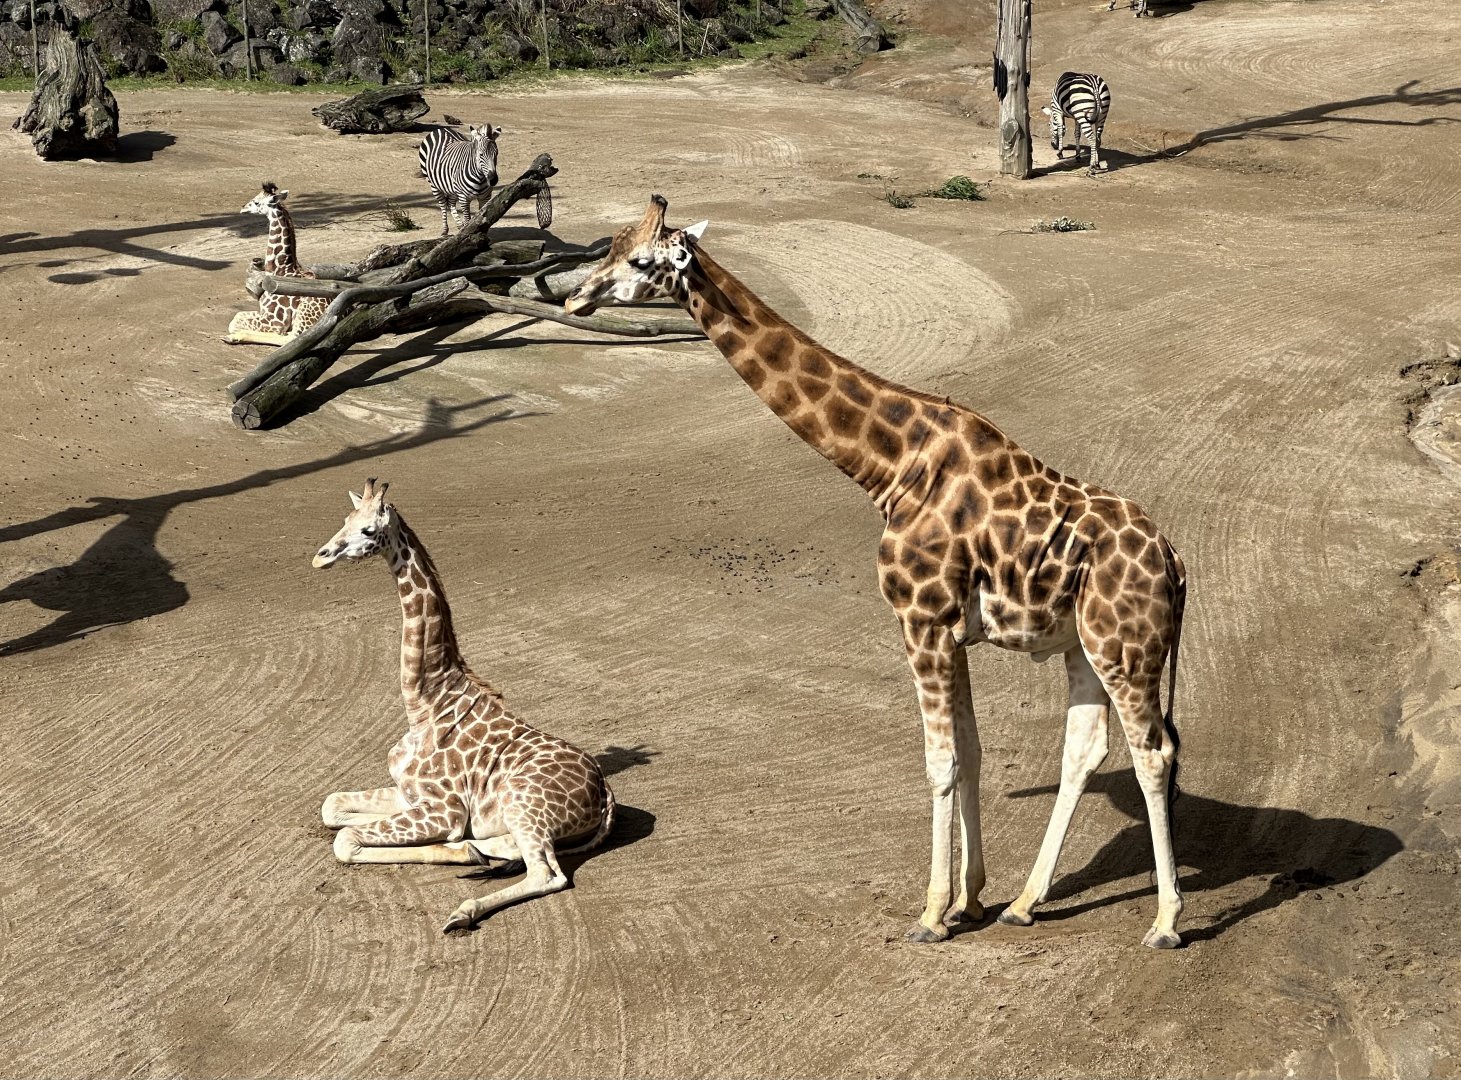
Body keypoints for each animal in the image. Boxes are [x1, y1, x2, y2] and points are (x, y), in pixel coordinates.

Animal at [223, 182, 329, 347]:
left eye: (256, 202)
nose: (243, 207)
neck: (277, 270)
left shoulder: (274, 320)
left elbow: (235, 322)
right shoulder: (263, 312)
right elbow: (237, 316)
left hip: (304, 313)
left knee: (292, 338)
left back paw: (236, 337)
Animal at [311, 478, 616, 932]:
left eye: (368, 530)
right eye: (345, 519)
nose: (321, 556)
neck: (424, 704)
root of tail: (605, 791)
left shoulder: (444, 810)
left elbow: (345, 840)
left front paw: (453, 850)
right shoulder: (410, 794)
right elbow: (332, 809)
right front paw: (461, 851)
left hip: (523, 805)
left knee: (548, 873)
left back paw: (463, 910)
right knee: (514, 852)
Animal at [564, 197, 1189, 949]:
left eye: (635, 259)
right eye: (609, 246)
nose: (572, 296)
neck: (890, 466)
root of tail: (1175, 562)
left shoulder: (920, 619)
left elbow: (939, 762)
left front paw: (931, 914)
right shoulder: (950, 631)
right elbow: (970, 753)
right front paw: (971, 900)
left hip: (1125, 647)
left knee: (1153, 754)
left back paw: (1165, 921)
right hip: (1082, 644)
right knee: (1087, 749)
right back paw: (1024, 902)